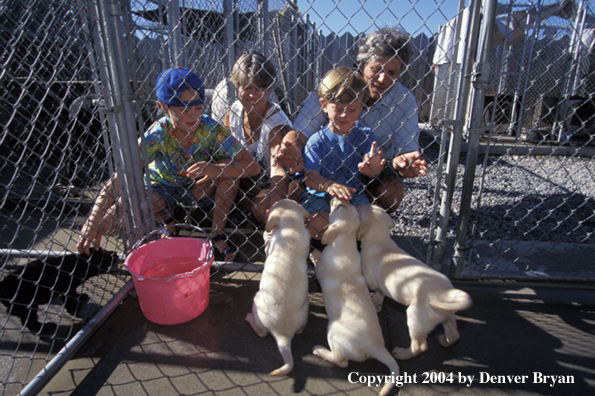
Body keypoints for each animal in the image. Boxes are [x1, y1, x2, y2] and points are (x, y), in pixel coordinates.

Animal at [247, 200, 312, 376]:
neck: (292, 227)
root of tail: (283, 335)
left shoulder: (270, 246)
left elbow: (267, 243)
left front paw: (266, 233)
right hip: (305, 308)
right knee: (301, 328)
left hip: (256, 301)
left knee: (262, 332)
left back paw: (249, 319)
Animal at [314, 200, 398, 396]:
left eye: (338, 208)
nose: (339, 199)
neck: (345, 244)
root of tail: (377, 346)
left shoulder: (321, 269)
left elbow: (318, 259)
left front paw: (313, 252)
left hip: (333, 331)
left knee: (341, 361)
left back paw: (320, 350)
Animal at [356, 206, 472, 360]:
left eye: (362, 208)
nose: (358, 205)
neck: (381, 241)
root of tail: (446, 293)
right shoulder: (381, 287)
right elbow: (379, 296)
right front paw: (377, 305)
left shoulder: (372, 281)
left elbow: (375, 295)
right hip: (447, 315)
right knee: (454, 334)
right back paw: (444, 341)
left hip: (415, 318)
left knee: (420, 347)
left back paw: (401, 353)